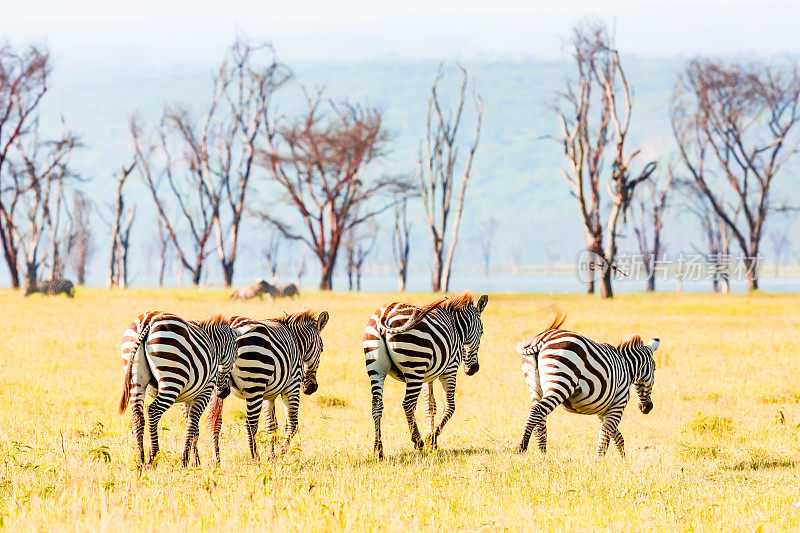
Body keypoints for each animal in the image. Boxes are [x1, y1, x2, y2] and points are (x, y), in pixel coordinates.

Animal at [116, 312, 241, 466]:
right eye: (236, 353)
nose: (225, 392)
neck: (214, 345)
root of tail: (148, 319)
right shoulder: (204, 392)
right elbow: (192, 424)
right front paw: (185, 461)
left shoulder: (189, 397)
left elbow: (193, 428)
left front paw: (195, 461)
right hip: (172, 379)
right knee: (153, 411)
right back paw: (154, 458)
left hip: (136, 377)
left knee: (137, 416)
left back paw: (141, 461)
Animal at [208, 310, 330, 460]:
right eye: (322, 349)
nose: (311, 388)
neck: (297, 343)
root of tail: (232, 326)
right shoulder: (292, 385)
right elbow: (292, 424)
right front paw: (281, 455)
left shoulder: (268, 394)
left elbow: (271, 425)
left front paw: (271, 457)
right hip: (255, 385)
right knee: (250, 424)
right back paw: (255, 459)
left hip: (218, 387)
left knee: (214, 422)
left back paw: (216, 459)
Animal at [362, 290, 488, 458]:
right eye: (482, 332)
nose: (473, 369)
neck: (457, 328)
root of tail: (385, 314)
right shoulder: (450, 370)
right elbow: (450, 406)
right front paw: (432, 438)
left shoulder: (428, 376)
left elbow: (430, 406)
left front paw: (433, 442)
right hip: (414, 367)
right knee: (408, 404)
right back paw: (418, 441)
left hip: (376, 368)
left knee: (377, 404)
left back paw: (378, 449)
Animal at [516, 312, 660, 458]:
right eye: (654, 369)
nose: (647, 408)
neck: (627, 367)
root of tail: (542, 339)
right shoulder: (618, 404)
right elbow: (606, 437)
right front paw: (600, 461)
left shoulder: (603, 410)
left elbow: (616, 436)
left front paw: (622, 460)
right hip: (561, 383)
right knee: (537, 410)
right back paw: (521, 447)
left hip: (534, 386)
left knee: (540, 419)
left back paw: (543, 455)